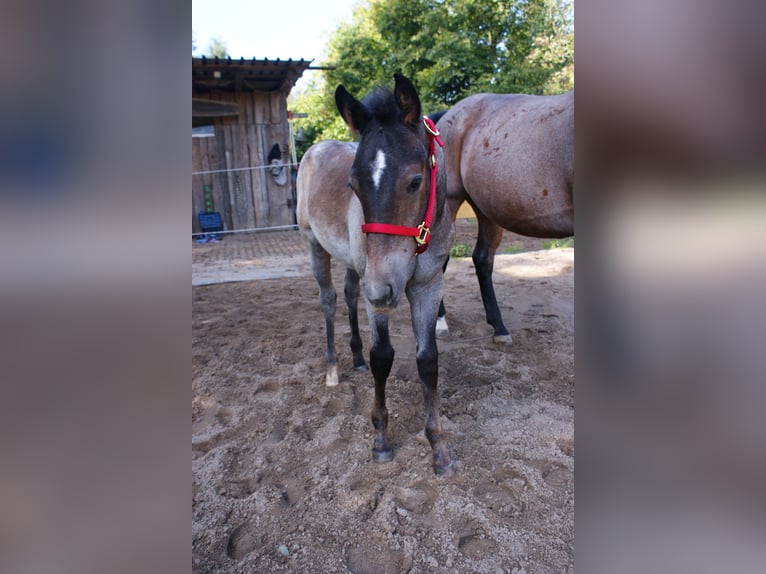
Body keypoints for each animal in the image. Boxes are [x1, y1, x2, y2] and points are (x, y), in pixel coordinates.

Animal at [296, 74, 456, 476]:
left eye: (415, 181)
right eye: (353, 185)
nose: (382, 290)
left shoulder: (428, 286)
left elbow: (428, 359)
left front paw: (439, 449)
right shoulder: (379, 291)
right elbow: (383, 356)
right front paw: (381, 441)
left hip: (359, 268)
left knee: (351, 294)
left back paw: (355, 359)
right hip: (316, 246)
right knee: (329, 300)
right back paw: (333, 370)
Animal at [435, 90, 574, 344]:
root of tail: (449, 115)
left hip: (488, 210)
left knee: (482, 259)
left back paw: (499, 327)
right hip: (450, 202)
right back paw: (440, 322)